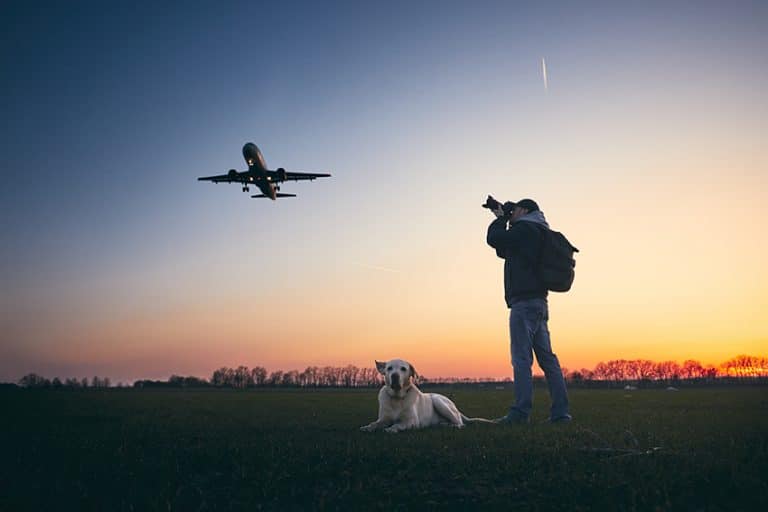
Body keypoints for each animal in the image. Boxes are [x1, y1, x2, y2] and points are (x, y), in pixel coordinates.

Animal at [358, 358, 492, 434]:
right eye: (389, 368)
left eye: (403, 369)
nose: (394, 376)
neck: (397, 398)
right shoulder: (384, 419)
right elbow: (374, 423)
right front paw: (367, 427)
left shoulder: (412, 421)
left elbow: (399, 424)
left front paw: (392, 429)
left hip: (438, 401)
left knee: (460, 424)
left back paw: (448, 426)